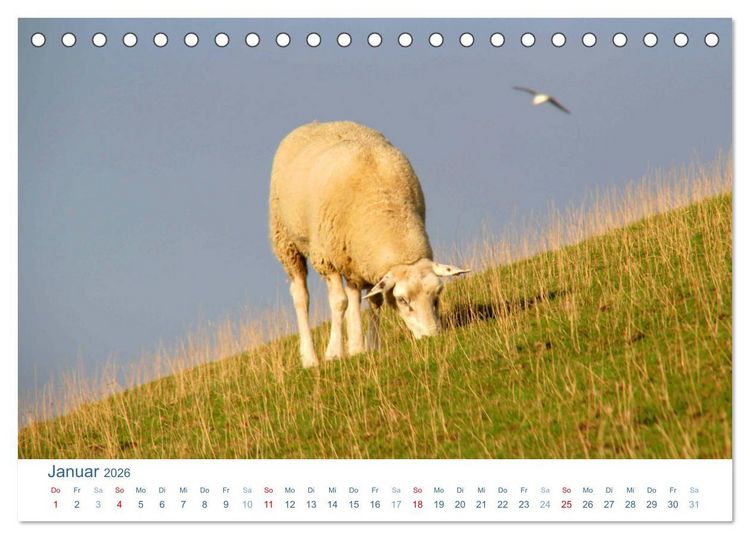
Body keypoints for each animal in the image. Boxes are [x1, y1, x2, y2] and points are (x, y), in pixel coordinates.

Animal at [269, 121, 469, 368]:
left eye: (437, 296)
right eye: (402, 300)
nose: (431, 337)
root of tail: (317, 123)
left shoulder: (367, 264)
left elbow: (374, 301)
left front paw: (369, 346)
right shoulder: (326, 257)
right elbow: (339, 302)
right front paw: (334, 353)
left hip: (351, 256)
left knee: (354, 293)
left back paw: (355, 345)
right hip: (286, 240)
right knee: (301, 296)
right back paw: (310, 358)